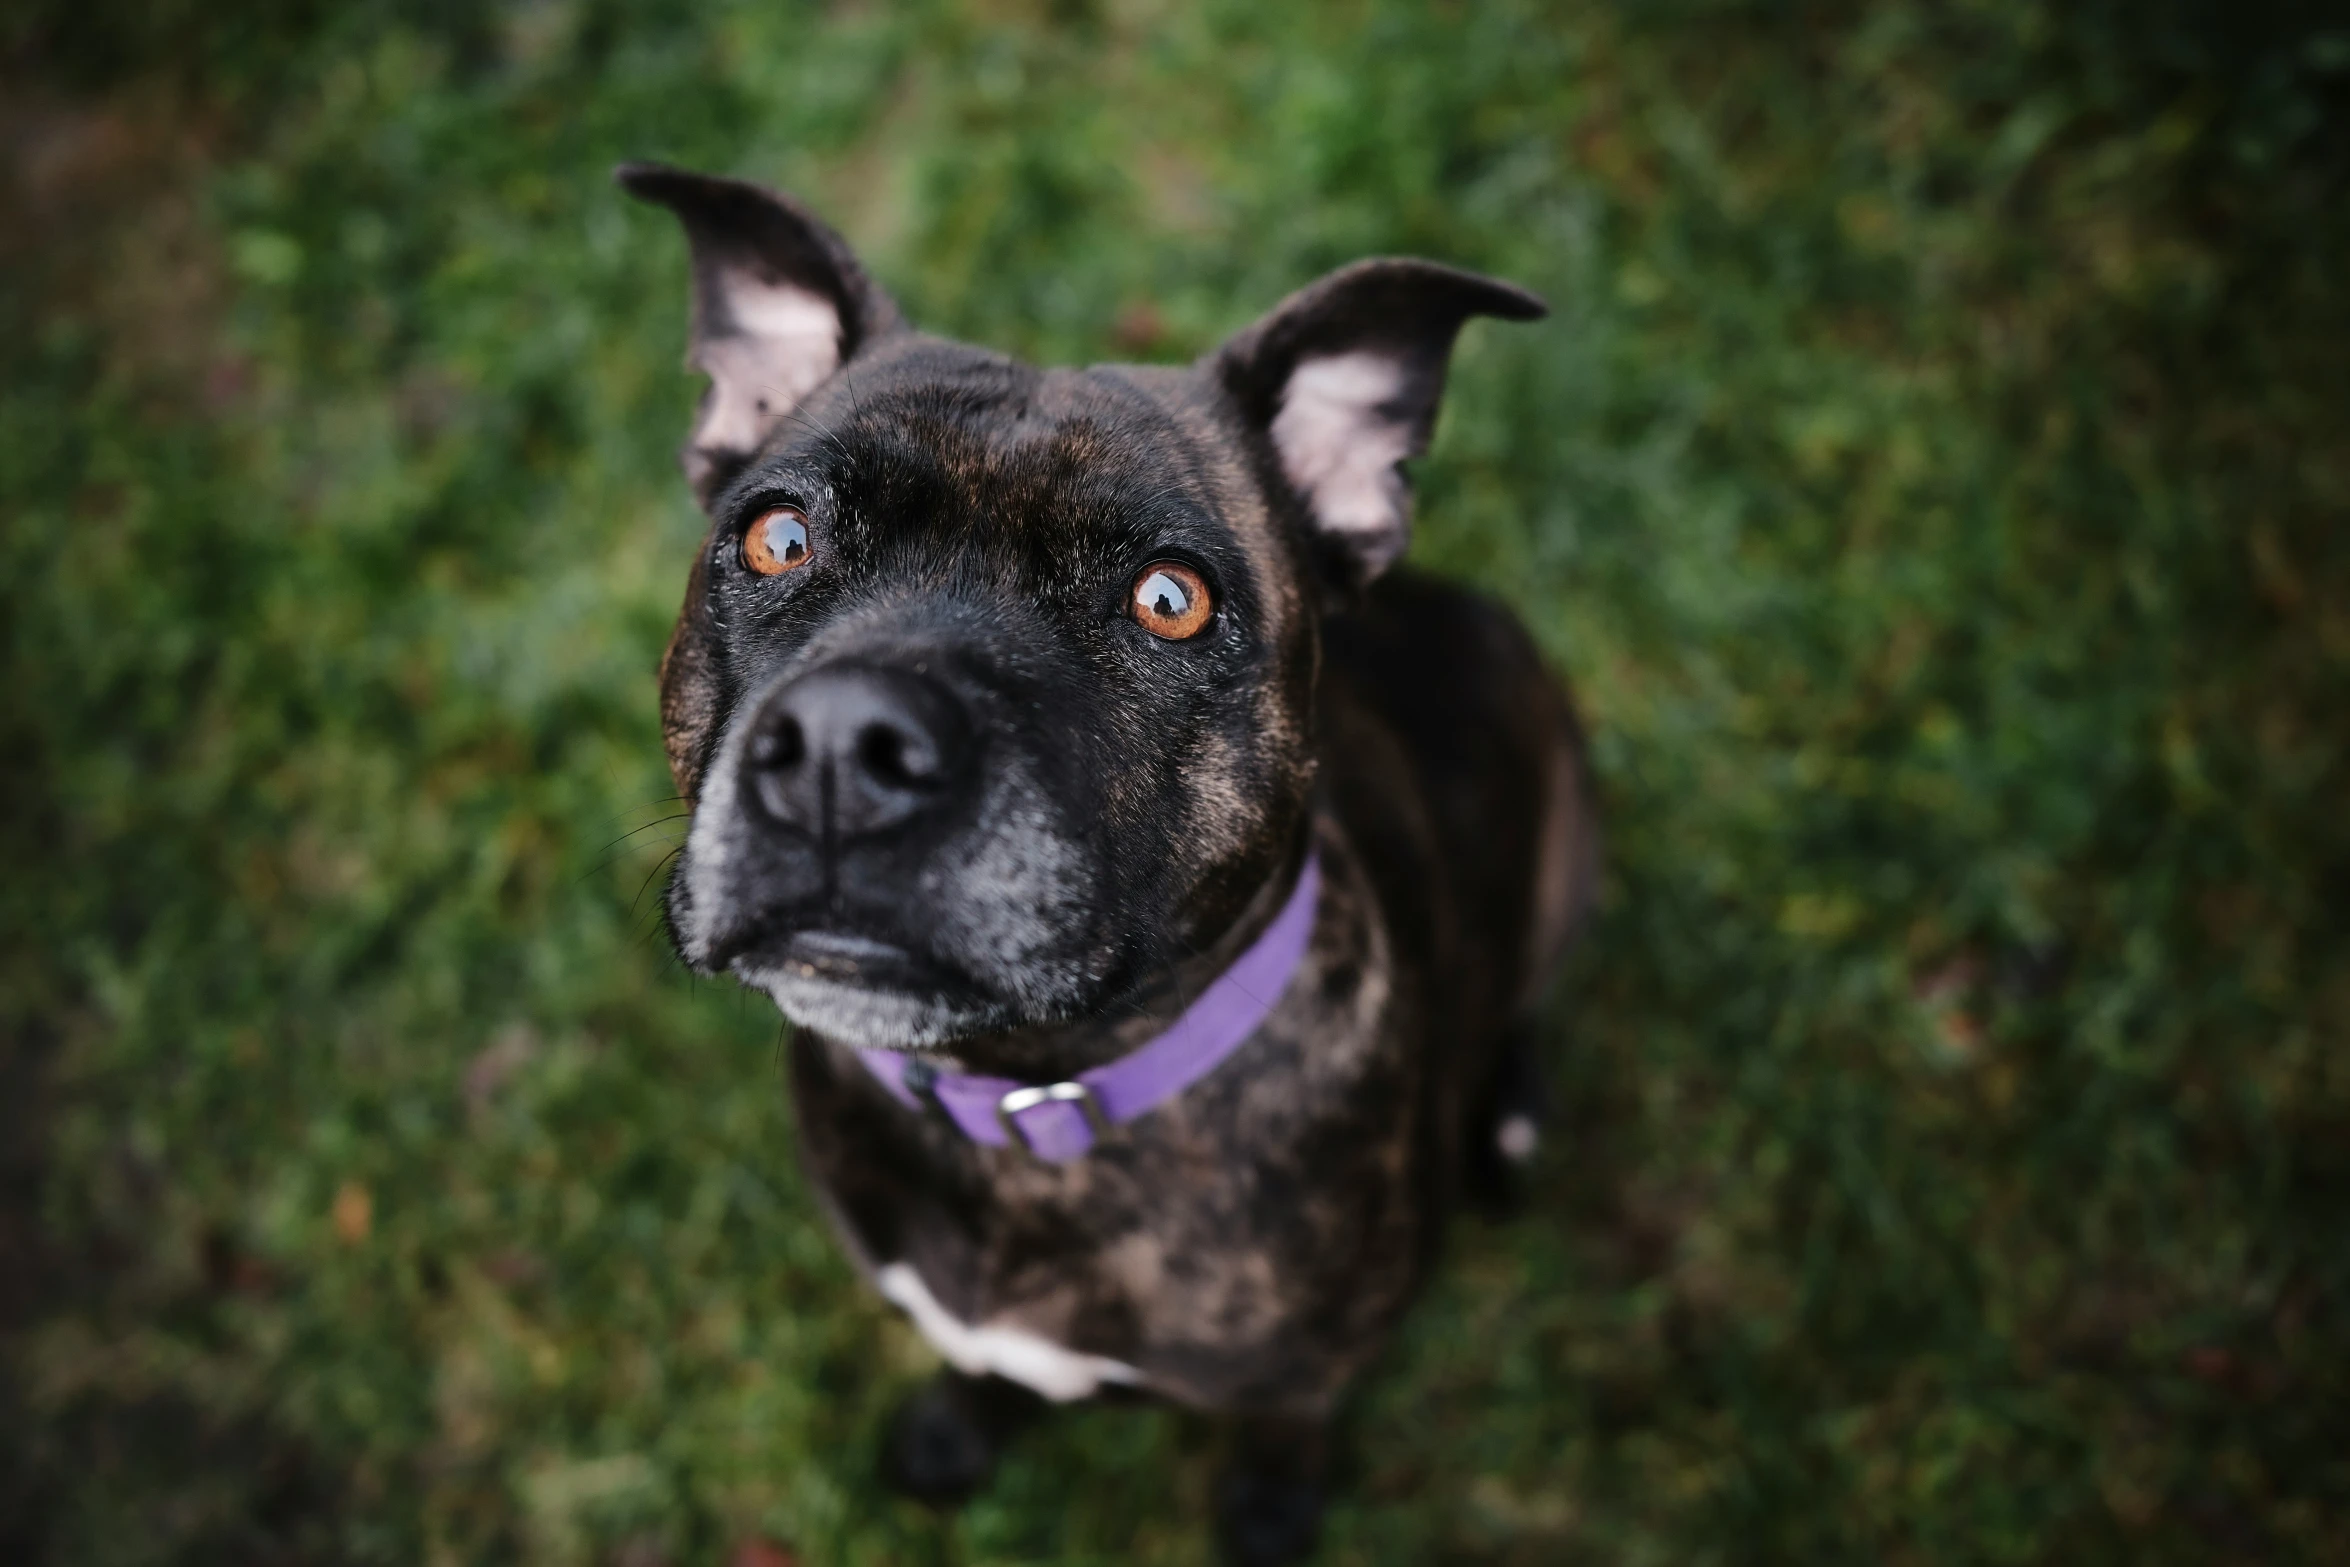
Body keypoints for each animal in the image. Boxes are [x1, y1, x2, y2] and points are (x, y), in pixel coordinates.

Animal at [615, 165, 1607, 1559]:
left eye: (1169, 600)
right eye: (777, 540)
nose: (845, 747)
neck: (1022, 1101)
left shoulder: (1304, 1380)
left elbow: (1281, 1436)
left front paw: (1267, 1516)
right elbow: (976, 1368)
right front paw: (954, 1434)